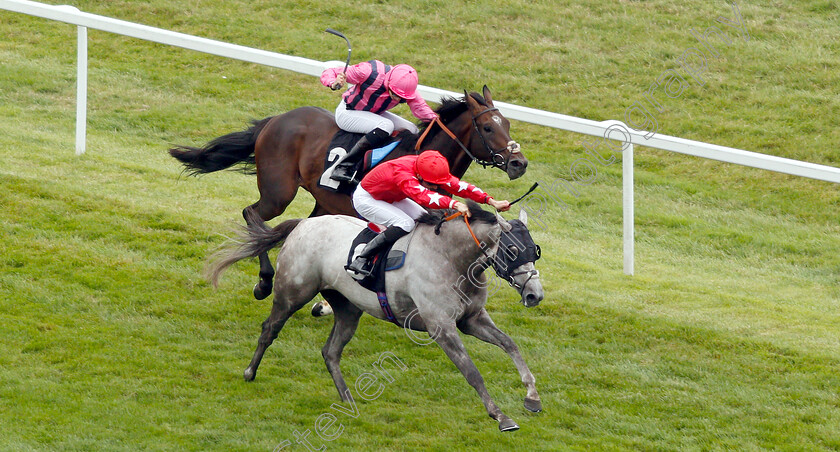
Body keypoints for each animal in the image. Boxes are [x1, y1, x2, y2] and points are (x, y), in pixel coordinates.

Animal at [169, 87, 524, 302]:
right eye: (488, 128)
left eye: (506, 123)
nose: (519, 163)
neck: (423, 157)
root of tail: (276, 120)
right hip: (278, 192)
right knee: (253, 214)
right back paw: (265, 281)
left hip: (323, 203)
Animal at [207, 203, 540, 432]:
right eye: (512, 249)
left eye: (535, 250)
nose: (535, 295)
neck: (450, 258)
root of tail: (304, 223)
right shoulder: (441, 327)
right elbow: (472, 372)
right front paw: (501, 416)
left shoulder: (471, 320)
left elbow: (510, 345)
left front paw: (532, 396)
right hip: (292, 294)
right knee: (269, 330)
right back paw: (250, 371)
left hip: (347, 308)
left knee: (330, 351)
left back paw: (347, 399)